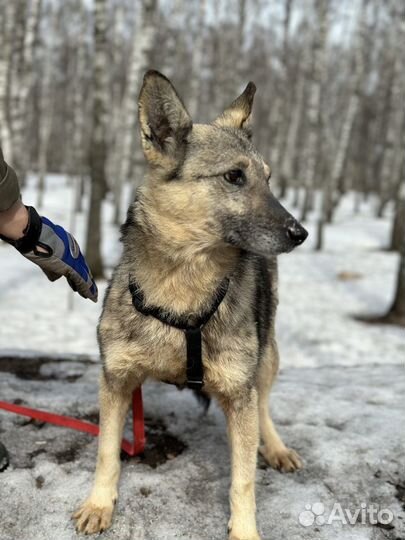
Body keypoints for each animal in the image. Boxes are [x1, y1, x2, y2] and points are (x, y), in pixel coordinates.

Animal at [73, 69, 306, 536]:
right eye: (234, 176)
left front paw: (245, 530)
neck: (185, 288)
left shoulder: (239, 391)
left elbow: (243, 480)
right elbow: (107, 452)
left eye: (269, 179)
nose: (301, 232)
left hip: (266, 355)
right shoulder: (117, 379)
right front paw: (99, 504)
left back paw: (275, 447)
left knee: (264, 406)